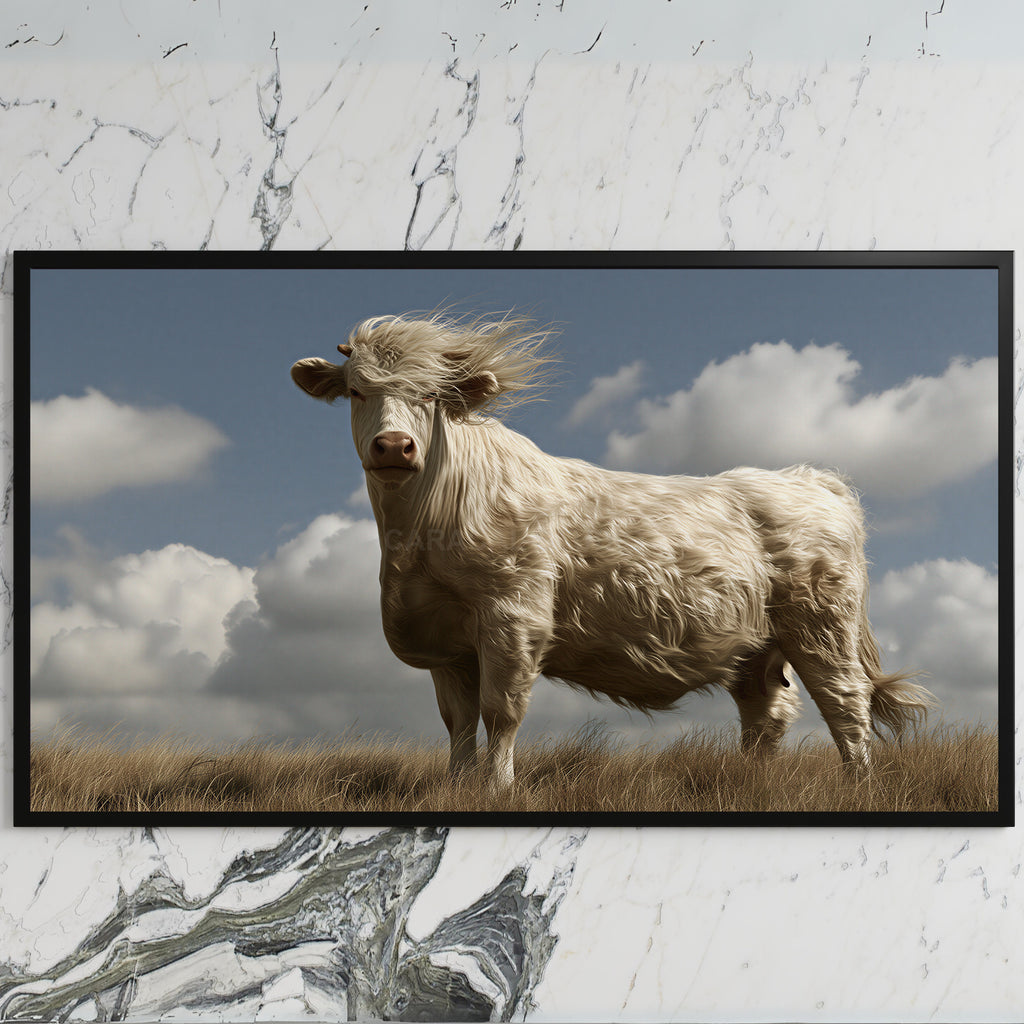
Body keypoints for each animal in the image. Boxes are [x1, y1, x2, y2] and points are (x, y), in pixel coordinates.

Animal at [291, 312, 934, 790]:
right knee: (767, 714)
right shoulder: (445, 642)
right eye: (356, 391)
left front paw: (496, 789)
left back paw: (859, 785)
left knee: (846, 703)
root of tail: (806, 477)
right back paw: (749, 782)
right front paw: (456, 788)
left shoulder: (513, 617)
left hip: (821, 625)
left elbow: (501, 712)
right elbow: (458, 724)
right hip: (755, 645)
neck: (416, 537)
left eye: (433, 396)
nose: (394, 446)